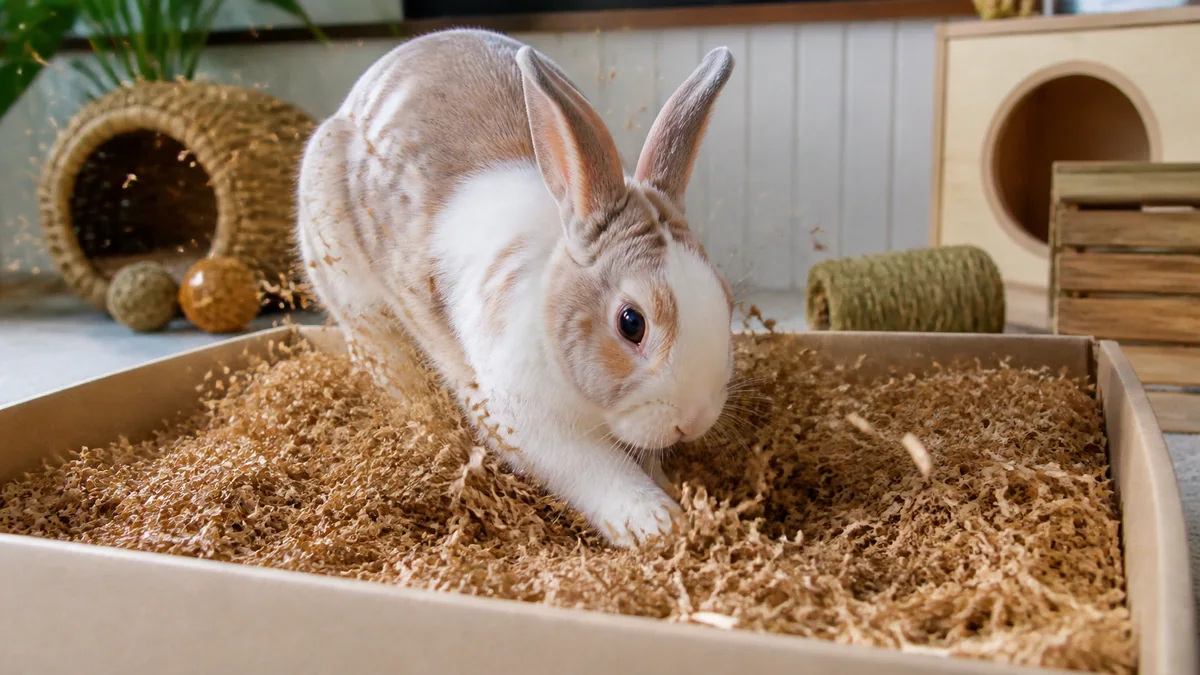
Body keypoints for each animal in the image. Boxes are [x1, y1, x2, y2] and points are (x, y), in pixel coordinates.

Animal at [295, 28, 736, 548]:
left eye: (726, 299)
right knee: (389, 366)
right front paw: (659, 524)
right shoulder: (525, 420)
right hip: (359, 304)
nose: (695, 418)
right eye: (632, 323)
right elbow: (597, 470)